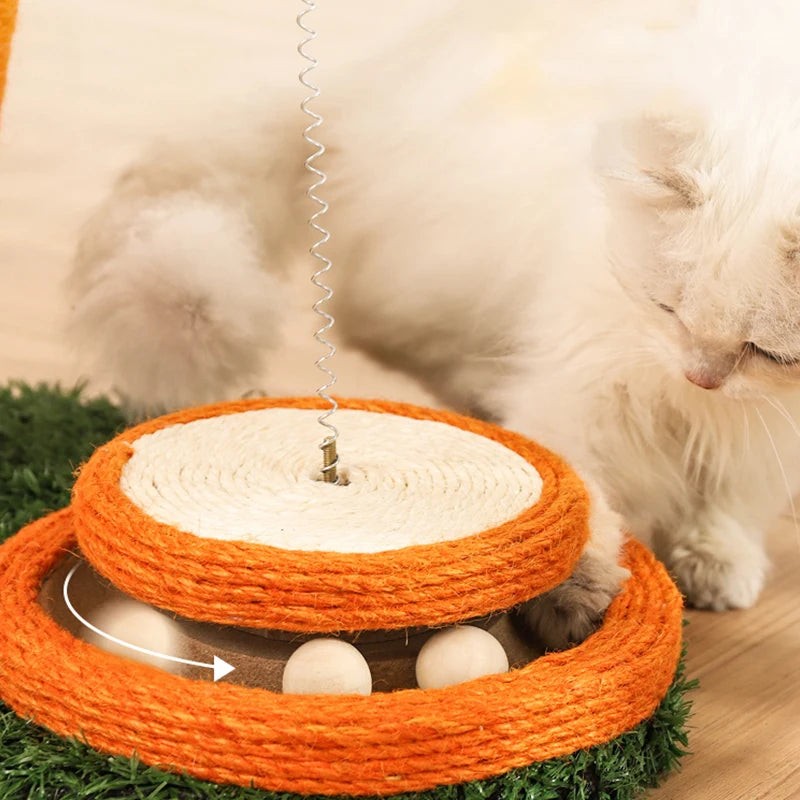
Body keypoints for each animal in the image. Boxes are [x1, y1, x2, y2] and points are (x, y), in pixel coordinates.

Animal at [65, 1, 800, 644]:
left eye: (767, 354)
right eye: (664, 306)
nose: (702, 377)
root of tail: (368, 78)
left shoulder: (765, 428)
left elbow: (729, 499)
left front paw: (717, 566)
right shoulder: (588, 384)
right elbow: (579, 495)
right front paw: (572, 594)